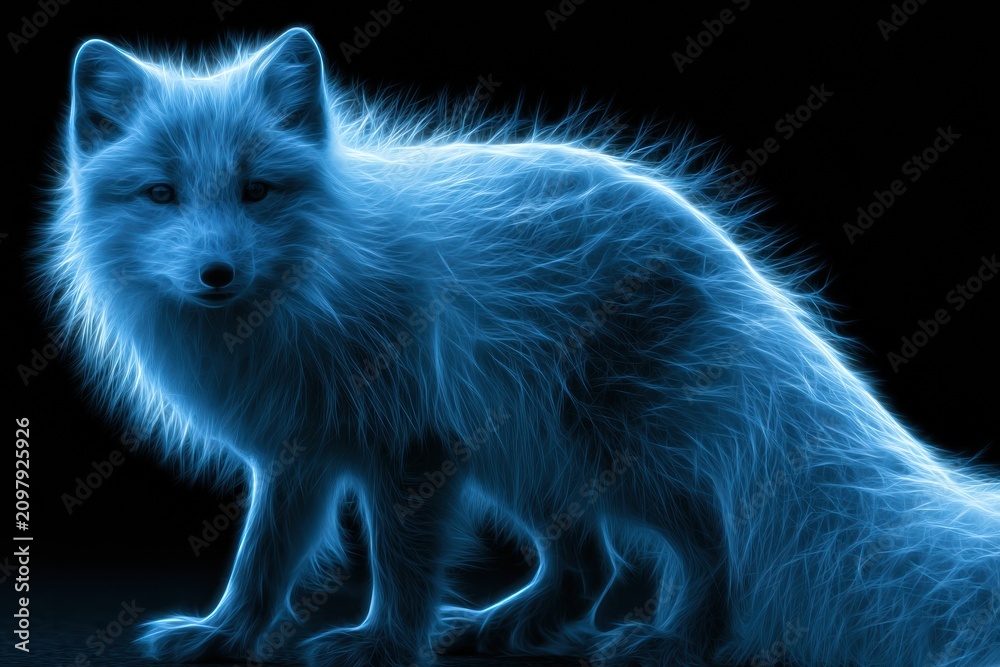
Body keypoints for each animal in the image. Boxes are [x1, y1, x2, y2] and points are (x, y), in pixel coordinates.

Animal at [33, 27, 1000, 667]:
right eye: (161, 194)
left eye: (256, 190)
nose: (217, 273)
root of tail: (715, 241)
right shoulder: (297, 456)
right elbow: (261, 561)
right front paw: (223, 635)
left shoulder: (411, 449)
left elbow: (401, 565)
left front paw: (381, 642)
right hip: (526, 457)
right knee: (593, 560)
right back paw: (519, 627)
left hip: (607, 448)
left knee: (706, 536)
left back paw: (676, 638)